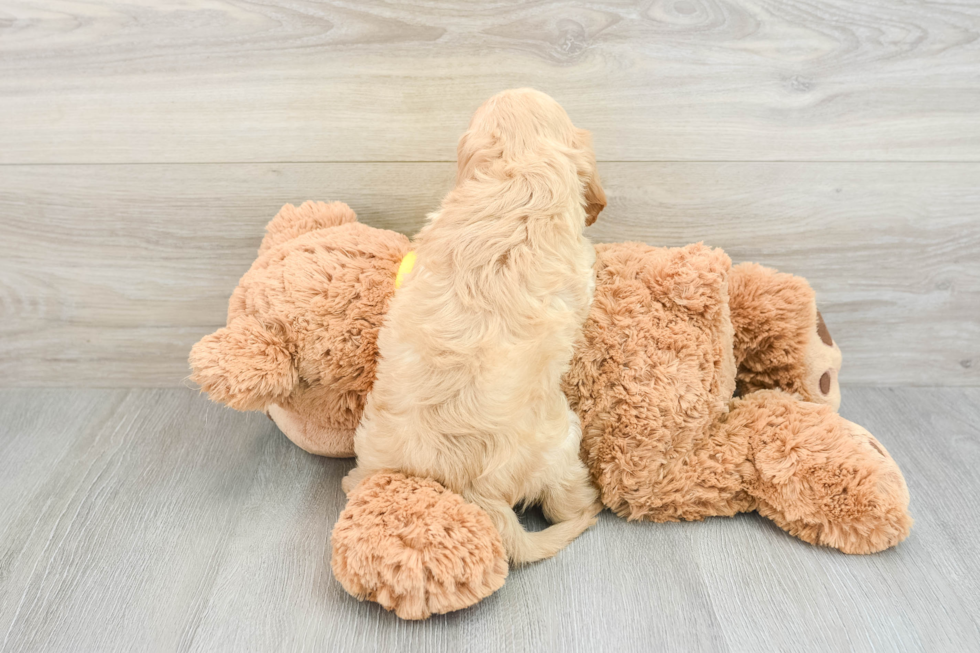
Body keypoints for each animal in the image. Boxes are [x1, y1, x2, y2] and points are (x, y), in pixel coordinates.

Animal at [344, 89, 604, 564]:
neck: (519, 176)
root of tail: (472, 492)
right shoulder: (582, 270)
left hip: (372, 448)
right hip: (563, 443)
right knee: (565, 504)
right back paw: (589, 508)